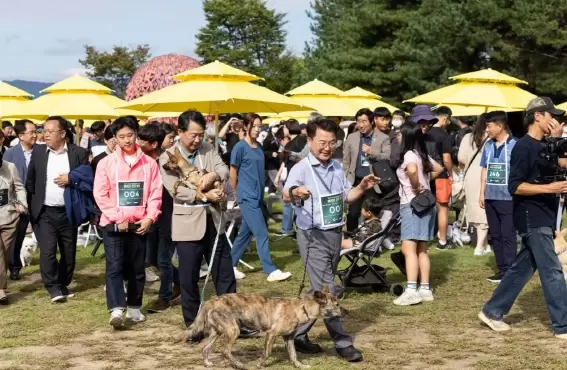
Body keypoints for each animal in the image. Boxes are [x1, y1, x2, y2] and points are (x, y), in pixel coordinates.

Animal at [178, 286, 346, 370]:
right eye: (337, 305)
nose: (347, 311)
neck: (302, 307)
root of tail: (210, 301)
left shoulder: (289, 338)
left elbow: (293, 355)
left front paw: (300, 366)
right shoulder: (271, 334)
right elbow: (267, 353)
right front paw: (259, 364)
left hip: (217, 332)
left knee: (206, 348)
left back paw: (207, 364)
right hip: (233, 330)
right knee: (225, 351)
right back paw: (239, 365)